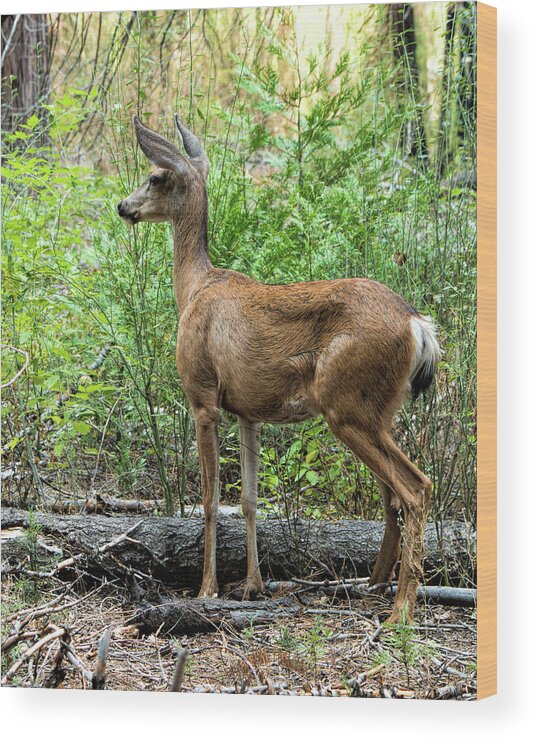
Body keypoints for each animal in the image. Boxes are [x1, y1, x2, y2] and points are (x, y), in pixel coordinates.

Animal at [118, 114, 440, 624]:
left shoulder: (203, 396)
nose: (122, 206)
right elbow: (249, 501)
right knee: (393, 493)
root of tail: (417, 323)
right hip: (380, 408)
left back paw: (402, 610)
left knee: (415, 488)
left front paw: (207, 588)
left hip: (344, 403)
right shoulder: (248, 411)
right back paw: (375, 583)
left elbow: (210, 500)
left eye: (154, 177)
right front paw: (252, 585)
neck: (193, 290)